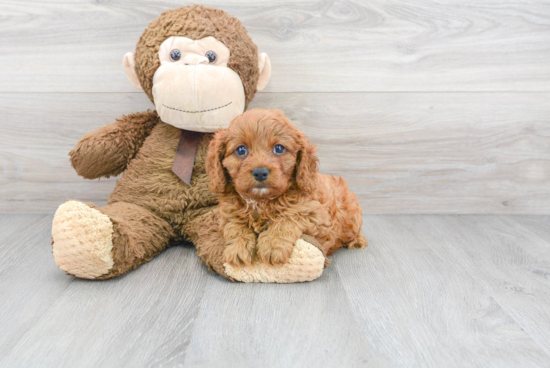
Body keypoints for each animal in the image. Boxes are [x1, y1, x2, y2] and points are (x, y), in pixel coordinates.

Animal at [205, 108, 368, 266]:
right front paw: (238, 247)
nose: (260, 173)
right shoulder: (228, 214)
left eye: (279, 148)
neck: (261, 201)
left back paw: (358, 240)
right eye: (241, 150)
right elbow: (235, 226)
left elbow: (288, 218)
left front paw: (273, 245)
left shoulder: (316, 215)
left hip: (352, 213)